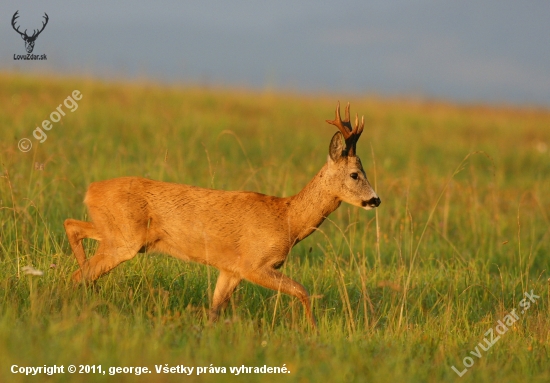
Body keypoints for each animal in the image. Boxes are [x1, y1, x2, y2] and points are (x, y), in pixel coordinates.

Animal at [64, 102, 382, 328]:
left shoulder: (230, 270)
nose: (375, 199)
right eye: (355, 174)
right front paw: (313, 332)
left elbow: (214, 310)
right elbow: (302, 290)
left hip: (117, 233)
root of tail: (91, 189)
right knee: (80, 274)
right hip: (125, 240)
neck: (287, 219)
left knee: (72, 228)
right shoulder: (254, 264)